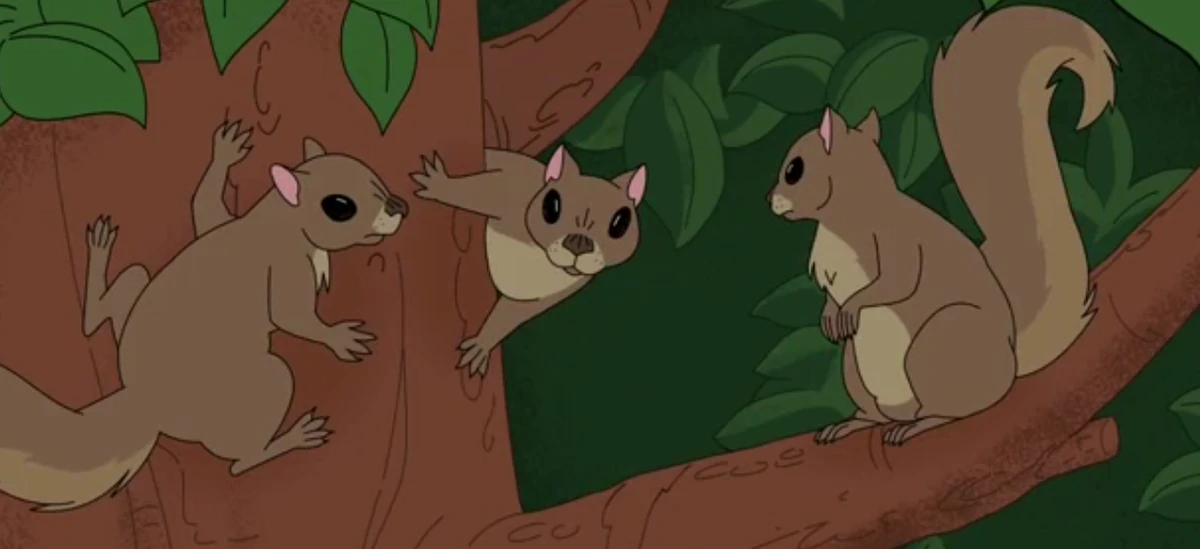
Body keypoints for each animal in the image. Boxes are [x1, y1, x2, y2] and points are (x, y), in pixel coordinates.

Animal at [0, 121, 408, 511]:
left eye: (372, 173)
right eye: (339, 206)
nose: (400, 206)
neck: (277, 219)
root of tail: (145, 403)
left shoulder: (223, 223)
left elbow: (204, 207)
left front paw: (226, 150)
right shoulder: (284, 267)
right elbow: (293, 316)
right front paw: (340, 337)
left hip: (135, 283)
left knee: (103, 309)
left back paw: (100, 254)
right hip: (259, 385)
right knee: (240, 461)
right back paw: (293, 438)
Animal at [411, 144, 647, 376]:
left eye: (620, 224)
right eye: (551, 206)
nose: (579, 243)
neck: (544, 258)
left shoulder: (550, 294)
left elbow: (509, 314)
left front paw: (482, 345)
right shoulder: (509, 191)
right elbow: (479, 189)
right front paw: (440, 184)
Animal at [766, 5, 1114, 446]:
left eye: (794, 169)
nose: (770, 200)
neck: (844, 218)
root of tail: (1011, 363)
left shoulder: (898, 242)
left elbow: (896, 281)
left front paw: (851, 305)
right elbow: (830, 290)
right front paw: (831, 315)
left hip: (938, 344)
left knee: (959, 409)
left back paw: (921, 424)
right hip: (854, 367)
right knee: (876, 411)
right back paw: (854, 423)